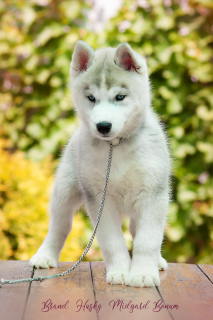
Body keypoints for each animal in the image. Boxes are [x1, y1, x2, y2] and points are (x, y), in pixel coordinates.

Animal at [29, 40, 171, 288]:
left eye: (120, 97)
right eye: (91, 98)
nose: (103, 126)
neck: (116, 146)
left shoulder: (153, 195)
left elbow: (148, 240)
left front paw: (143, 273)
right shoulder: (99, 198)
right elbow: (112, 241)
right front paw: (120, 271)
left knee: (136, 229)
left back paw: (158, 262)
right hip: (65, 190)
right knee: (59, 225)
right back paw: (45, 256)